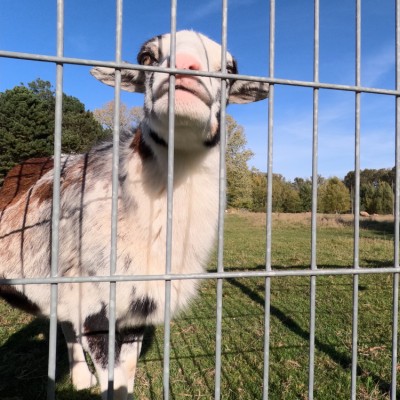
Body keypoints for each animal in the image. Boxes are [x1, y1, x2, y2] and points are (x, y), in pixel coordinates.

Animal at [0, 29, 268, 398]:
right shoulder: (98, 307)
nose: (187, 67)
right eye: (146, 57)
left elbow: (126, 374)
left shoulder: (136, 308)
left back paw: (80, 378)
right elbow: (113, 381)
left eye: (230, 69)